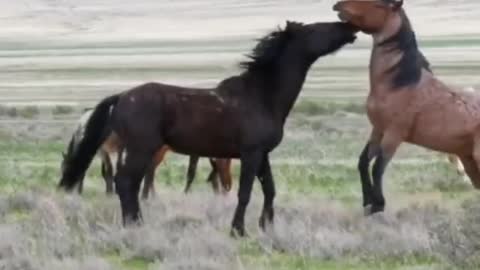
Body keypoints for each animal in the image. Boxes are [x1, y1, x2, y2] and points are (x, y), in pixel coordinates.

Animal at [334, 0, 480, 215]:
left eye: (378, 4)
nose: (337, 6)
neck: (401, 83)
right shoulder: (378, 130)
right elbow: (363, 162)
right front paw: (368, 202)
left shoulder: (394, 134)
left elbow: (378, 168)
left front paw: (378, 204)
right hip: (470, 162)